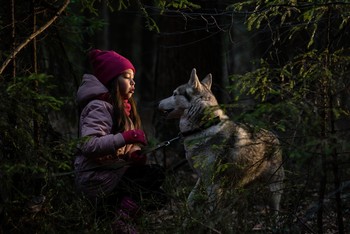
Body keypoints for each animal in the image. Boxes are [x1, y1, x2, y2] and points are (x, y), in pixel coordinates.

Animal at [159, 68, 284, 214]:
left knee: (275, 210)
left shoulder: (213, 183)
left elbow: (211, 209)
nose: (158, 103)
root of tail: (275, 136)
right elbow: (190, 198)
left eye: (174, 94)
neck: (203, 127)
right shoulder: (202, 178)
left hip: (274, 188)